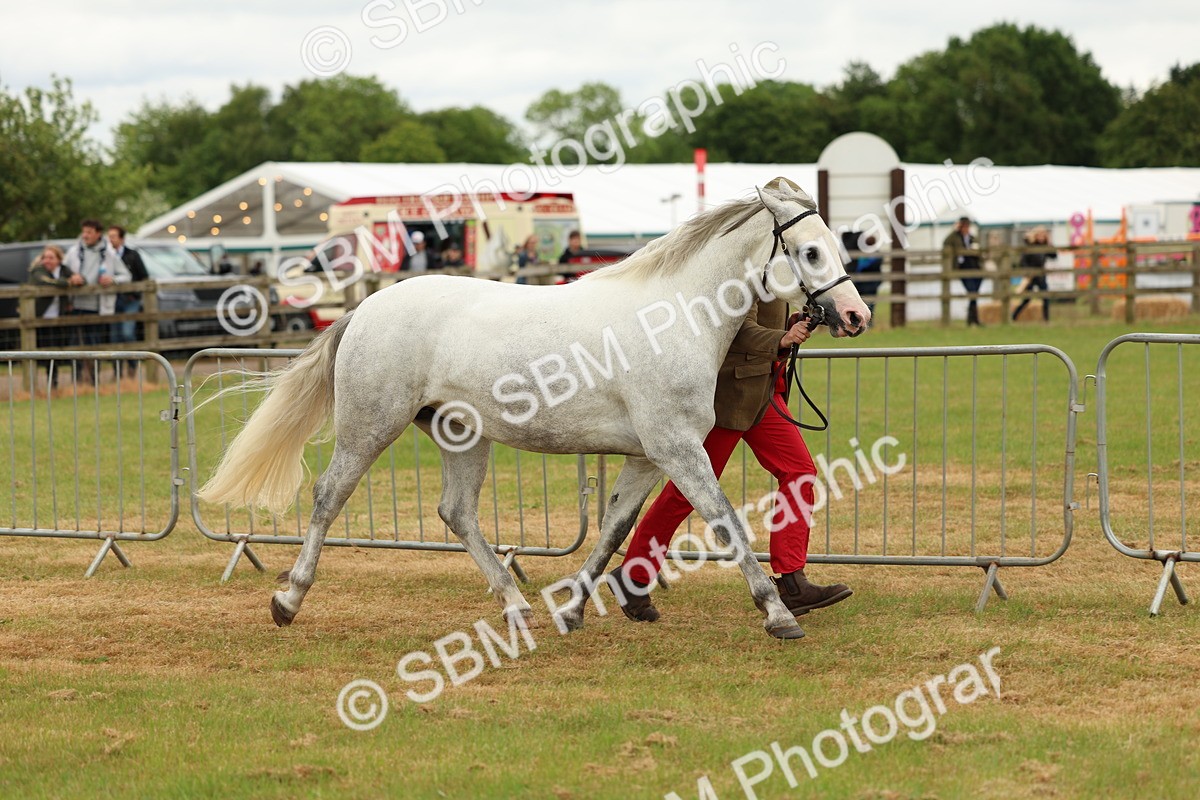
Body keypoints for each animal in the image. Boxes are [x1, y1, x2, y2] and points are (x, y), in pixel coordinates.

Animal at [199, 177, 871, 639]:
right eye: (811, 252)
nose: (856, 315)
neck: (673, 318)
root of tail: (365, 308)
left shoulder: (649, 456)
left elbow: (615, 528)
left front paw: (572, 611)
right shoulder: (677, 448)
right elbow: (726, 522)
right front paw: (779, 613)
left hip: (462, 435)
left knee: (456, 513)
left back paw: (518, 606)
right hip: (370, 426)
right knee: (328, 498)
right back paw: (288, 600)